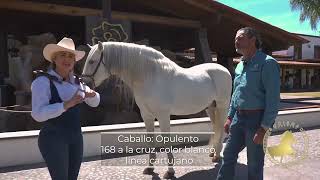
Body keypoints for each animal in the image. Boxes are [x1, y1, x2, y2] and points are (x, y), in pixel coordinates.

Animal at [82, 41, 232, 179]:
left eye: (92, 61)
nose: (85, 83)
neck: (151, 77)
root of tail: (224, 69)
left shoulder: (163, 115)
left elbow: (166, 140)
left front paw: (170, 171)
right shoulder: (147, 115)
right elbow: (150, 139)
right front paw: (150, 168)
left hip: (222, 106)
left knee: (221, 127)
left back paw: (217, 156)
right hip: (210, 107)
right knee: (216, 127)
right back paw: (213, 152)